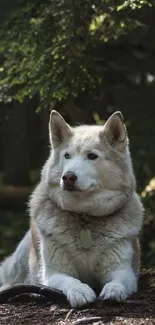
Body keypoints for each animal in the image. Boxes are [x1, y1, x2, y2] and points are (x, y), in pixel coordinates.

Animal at [0, 110, 144, 306]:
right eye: (67, 156)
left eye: (92, 156)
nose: (68, 177)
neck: (84, 216)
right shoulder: (54, 273)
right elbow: (71, 281)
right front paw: (80, 291)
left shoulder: (123, 269)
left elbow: (118, 282)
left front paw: (114, 290)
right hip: (20, 260)